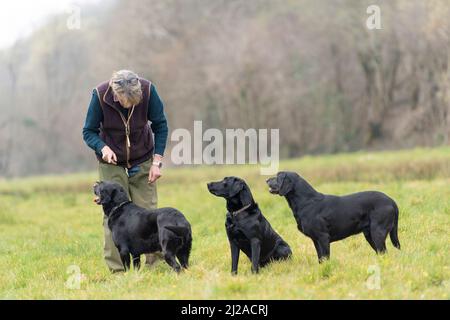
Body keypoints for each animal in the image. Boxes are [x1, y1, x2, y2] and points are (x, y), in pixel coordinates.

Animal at [266, 171, 400, 262]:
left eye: (278, 176)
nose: (266, 180)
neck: (307, 201)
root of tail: (391, 201)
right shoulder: (316, 240)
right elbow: (320, 259)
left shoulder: (323, 237)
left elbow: (326, 257)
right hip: (369, 235)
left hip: (377, 232)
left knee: (383, 251)